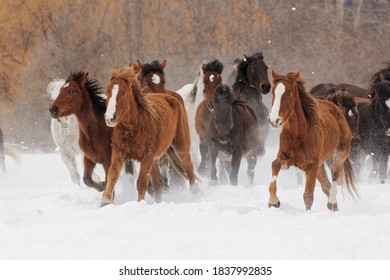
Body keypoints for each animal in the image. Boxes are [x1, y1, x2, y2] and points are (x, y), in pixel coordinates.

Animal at [101, 65, 198, 206]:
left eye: (123, 92)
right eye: (108, 92)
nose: (110, 118)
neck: (134, 127)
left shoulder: (147, 156)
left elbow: (141, 183)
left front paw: (140, 203)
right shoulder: (119, 152)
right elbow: (112, 175)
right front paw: (105, 201)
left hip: (180, 146)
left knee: (188, 168)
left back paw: (197, 191)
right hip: (155, 160)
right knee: (158, 183)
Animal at [268, 69, 360, 210]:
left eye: (289, 93)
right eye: (273, 92)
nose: (274, 120)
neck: (299, 134)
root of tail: (335, 107)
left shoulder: (312, 166)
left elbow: (308, 196)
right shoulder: (287, 159)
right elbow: (275, 164)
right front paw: (273, 201)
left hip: (340, 154)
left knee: (334, 177)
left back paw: (332, 202)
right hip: (321, 166)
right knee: (326, 186)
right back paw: (334, 208)